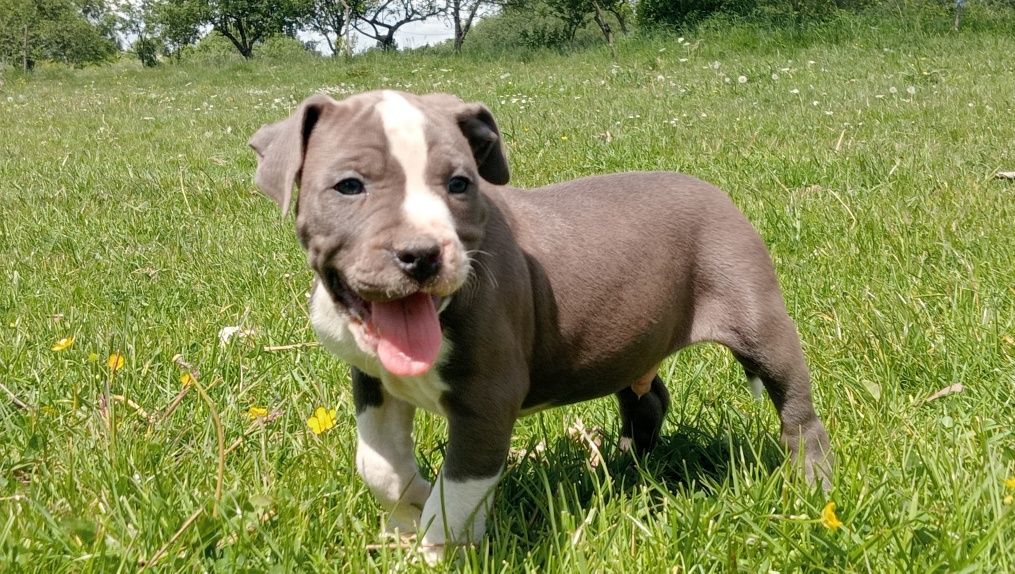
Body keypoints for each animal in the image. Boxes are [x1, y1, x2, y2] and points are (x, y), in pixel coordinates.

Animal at [247, 90, 832, 563]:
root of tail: (715, 191)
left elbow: (456, 494)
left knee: (797, 409)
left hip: (758, 318)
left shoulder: (488, 399)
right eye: (349, 186)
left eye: (459, 184)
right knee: (646, 399)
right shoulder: (373, 381)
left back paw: (813, 485)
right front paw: (408, 507)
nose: (421, 254)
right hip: (631, 343)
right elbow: (378, 465)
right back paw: (624, 468)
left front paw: (434, 548)